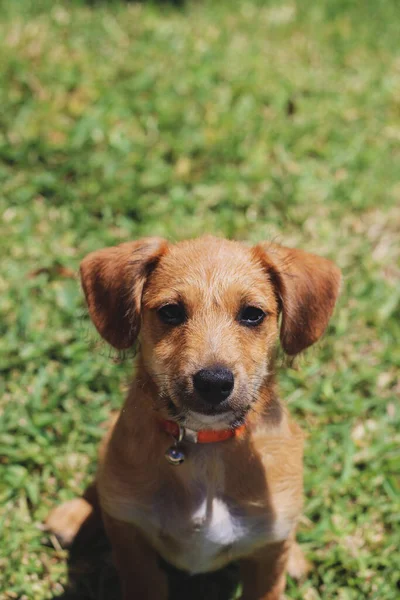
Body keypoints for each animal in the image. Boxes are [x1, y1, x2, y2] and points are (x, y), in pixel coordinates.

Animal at [47, 237, 340, 596]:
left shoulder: (267, 562)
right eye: (170, 312)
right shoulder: (133, 548)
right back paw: (73, 516)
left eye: (253, 315)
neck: (207, 446)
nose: (214, 382)